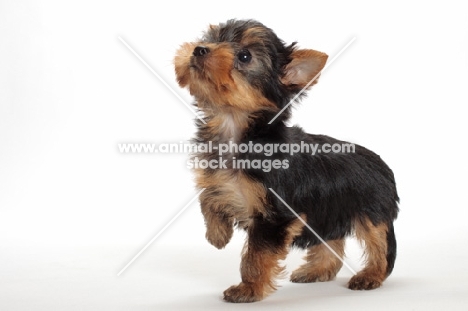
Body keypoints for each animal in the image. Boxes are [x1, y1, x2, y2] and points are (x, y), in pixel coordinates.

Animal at [174, 18, 400, 304]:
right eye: (210, 39)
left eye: (244, 56)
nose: (200, 49)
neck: (236, 128)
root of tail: (382, 164)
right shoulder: (218, 179)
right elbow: (207, 197)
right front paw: (217, 234)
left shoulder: (276, 215)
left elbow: (257, 254)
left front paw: (249, 289)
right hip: (326, 210)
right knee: (331, 238)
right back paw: (318, 270)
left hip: (371, 209)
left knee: (380, 243)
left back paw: (371, 275)